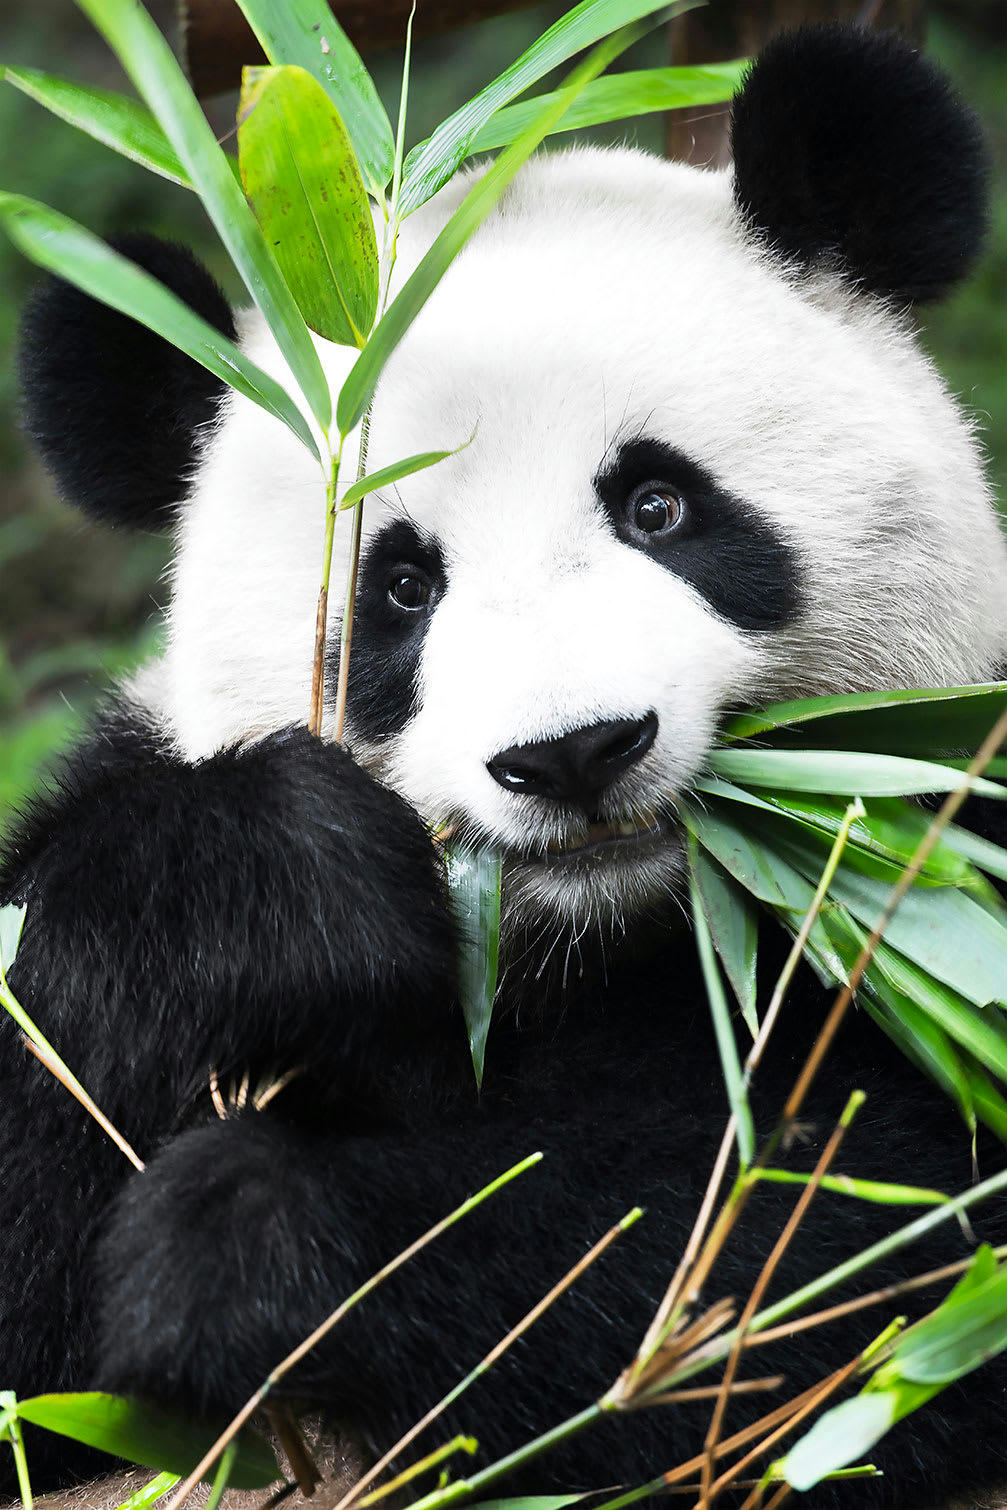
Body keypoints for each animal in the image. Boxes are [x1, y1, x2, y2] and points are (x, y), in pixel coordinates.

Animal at [4, 20, 1007, 1510]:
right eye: (399, 587)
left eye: (657, 504)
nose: (571, 750)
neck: (594, 942)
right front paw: (277, 891)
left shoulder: (936, 885)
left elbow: (831, 1240)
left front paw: (251, 1239)